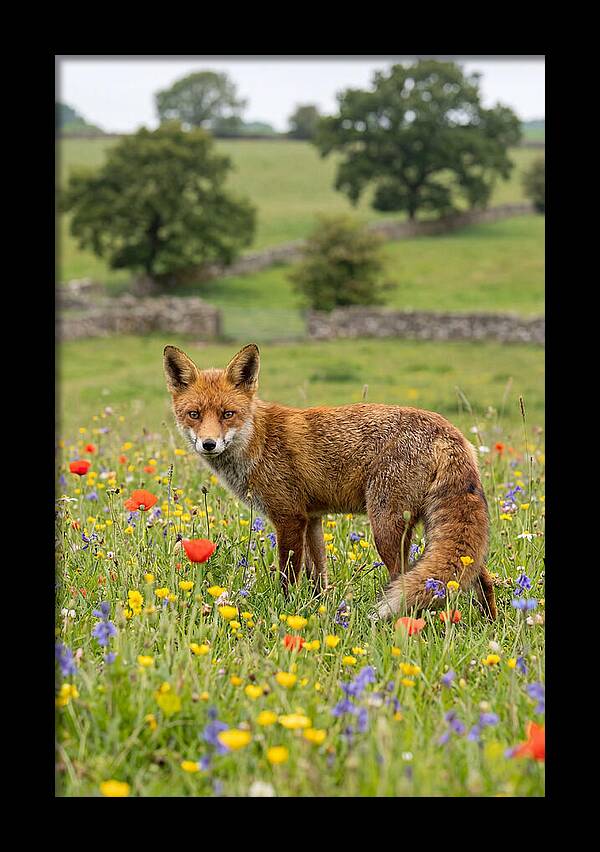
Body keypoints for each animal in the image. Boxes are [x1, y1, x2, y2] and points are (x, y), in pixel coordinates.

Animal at [163, 343, 497, 621]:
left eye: (227, 414)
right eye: (194, 414)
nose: (208, 444)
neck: (257, 440)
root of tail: (448, 431)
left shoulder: (289, 518)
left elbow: (288, 575)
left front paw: (285, 610)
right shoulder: (312, 519)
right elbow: (318, 576)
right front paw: (319, 609)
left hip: (386, 527)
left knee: (402, 579)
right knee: (480, 576)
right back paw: (490, 623)